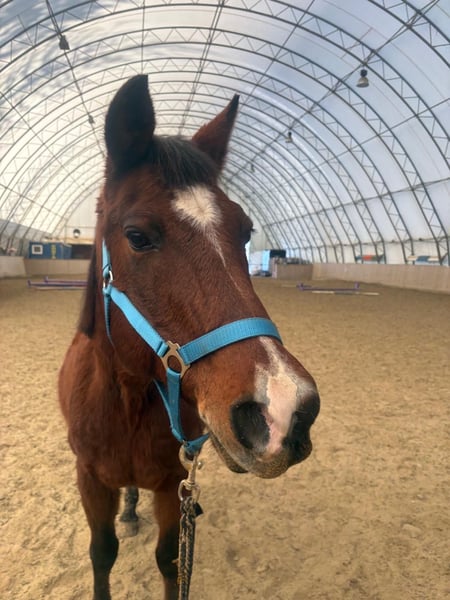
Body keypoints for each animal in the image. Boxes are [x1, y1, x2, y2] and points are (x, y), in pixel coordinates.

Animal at [58, 74, 320, 600]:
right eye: (137, 236)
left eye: (245, 231)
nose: (288, 411)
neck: (127, 399)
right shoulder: (89, 479)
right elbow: (102, 553)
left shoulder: (172, 481)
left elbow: (169, 558)